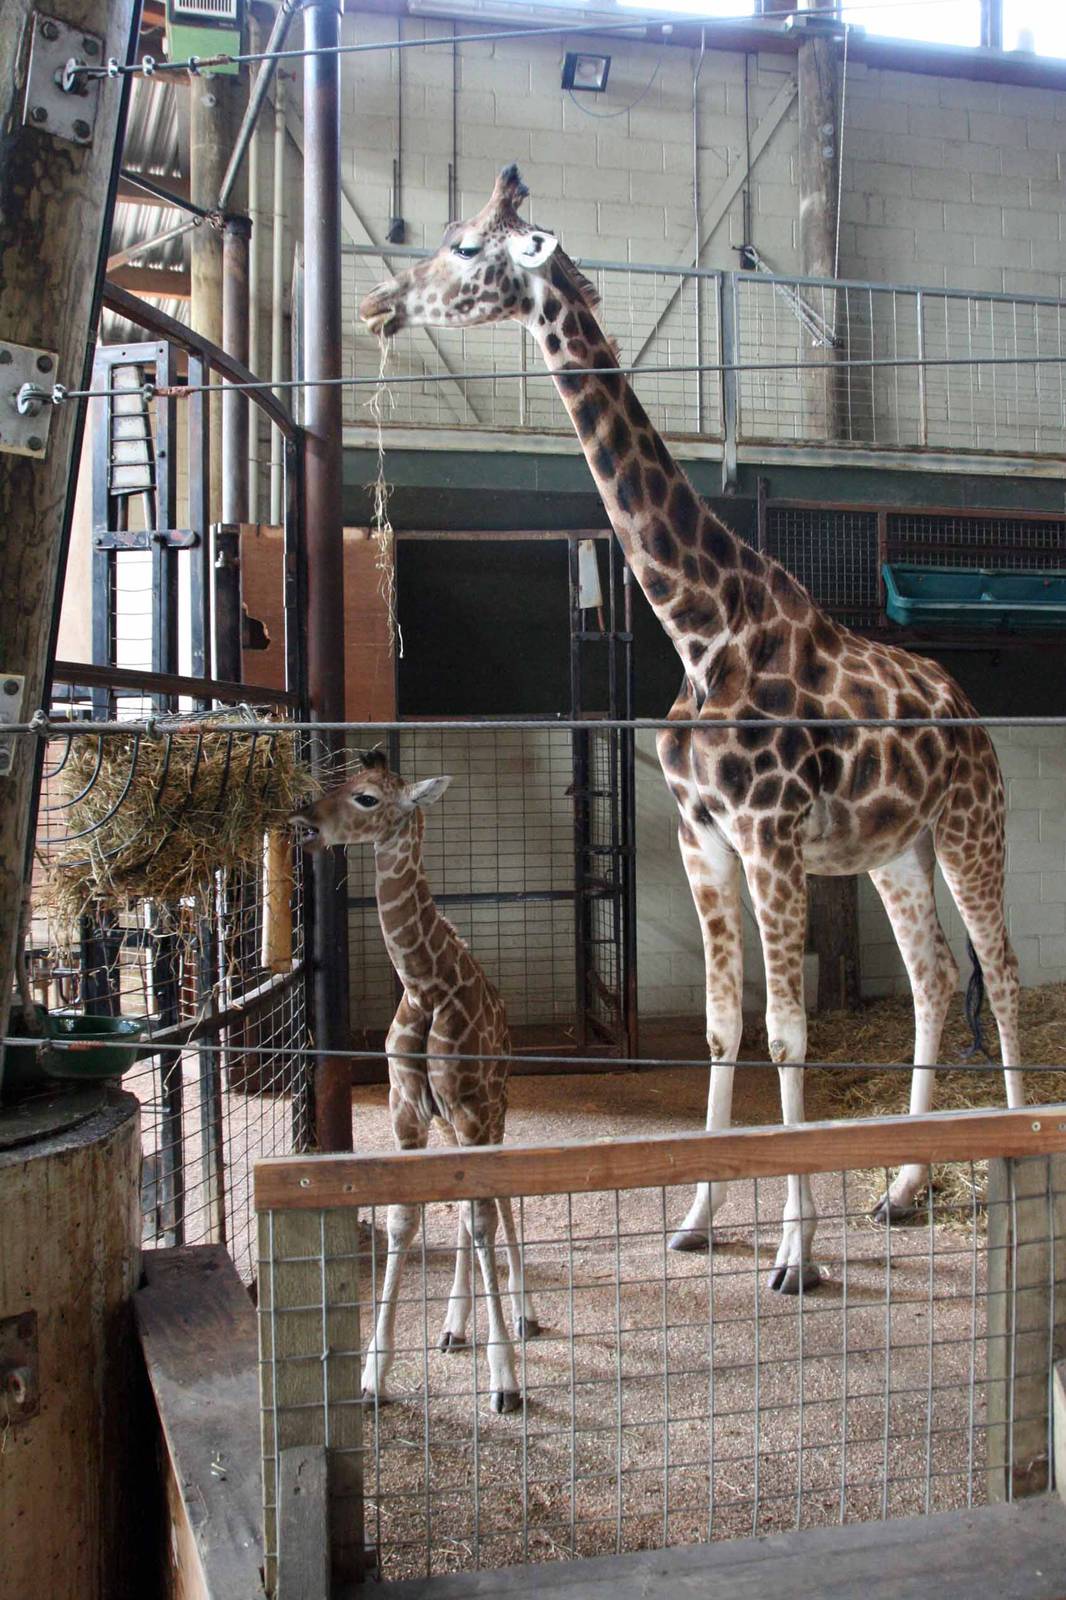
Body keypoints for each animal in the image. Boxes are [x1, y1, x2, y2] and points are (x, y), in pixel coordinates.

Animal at [292, 751, 539, 1409]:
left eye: (368, 798)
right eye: (342, 781)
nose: (304, 820)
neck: (427, 986)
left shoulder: (471, 1107)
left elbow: (480, 1218)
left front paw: (504, 1380)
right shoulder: (406, 1108)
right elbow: (405, 1220)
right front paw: (372, 1375)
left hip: (494, 1106)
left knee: (496, 1201)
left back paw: (523, 1312)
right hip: (455, 1122)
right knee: (466, 1202)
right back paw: (454, 1325)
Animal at [359, 167, 1023, 1293]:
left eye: (464, 245)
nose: (377, 304)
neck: (701, 624)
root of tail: (970, 715)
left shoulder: (768, 836)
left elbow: (789, 1035)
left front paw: (796, 1254)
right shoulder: (699, 836)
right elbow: (722, 1031)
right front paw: (699, 1215)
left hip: (973, 829)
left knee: (1005, 978)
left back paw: (1016, 1166)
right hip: (896, 851)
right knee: (936, 978)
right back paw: (900, 1186)